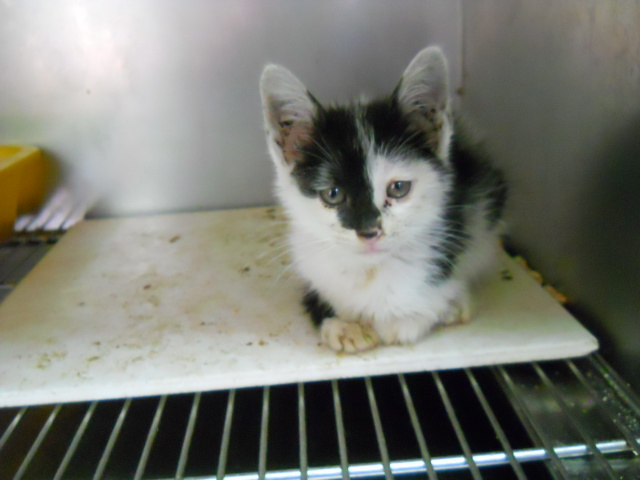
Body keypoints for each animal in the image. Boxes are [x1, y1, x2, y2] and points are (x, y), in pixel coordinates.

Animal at [260, 46, 506, 353]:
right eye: (333, 194)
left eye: (398, 188)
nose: (369, 232)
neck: (370, 270)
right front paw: (342, 324)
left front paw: (412, 317)